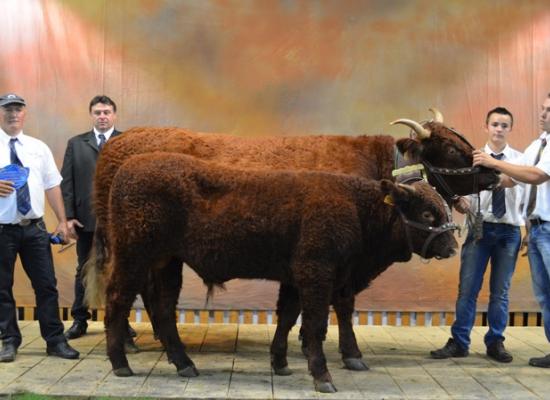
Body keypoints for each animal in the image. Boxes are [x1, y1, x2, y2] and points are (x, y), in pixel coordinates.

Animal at [88, 154, 462, 394]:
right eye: (427, 213)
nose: (452, 246)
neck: (356, 206)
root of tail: (126, 169)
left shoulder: (298, 279)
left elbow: (287, 317)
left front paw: (280, 362)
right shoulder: (317, 274)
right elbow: (315, 324)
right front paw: (323, 376)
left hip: (167, 263)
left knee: (164, 309)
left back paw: (184, 364)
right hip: (135, 257)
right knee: (118, 301)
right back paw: (121, 364)